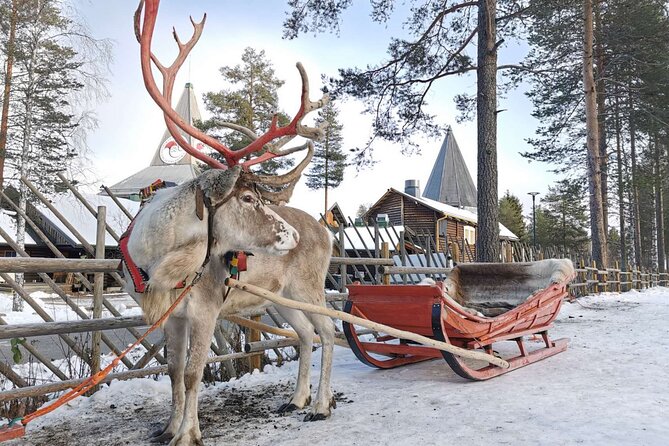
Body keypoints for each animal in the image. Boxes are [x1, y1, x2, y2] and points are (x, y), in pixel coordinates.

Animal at [131, 1, 336, 445]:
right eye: (246, 197)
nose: (293, 236)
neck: (158, 256)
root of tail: (326, 231)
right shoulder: (171, 315)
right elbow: (173, 371)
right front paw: (168, 428)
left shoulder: (205, 310)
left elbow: (194, 374)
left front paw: (188, 434)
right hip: (279, 297)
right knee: (306, 335)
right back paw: (296, 400)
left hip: (309, 288)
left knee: (328, 332)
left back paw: (321, 406)